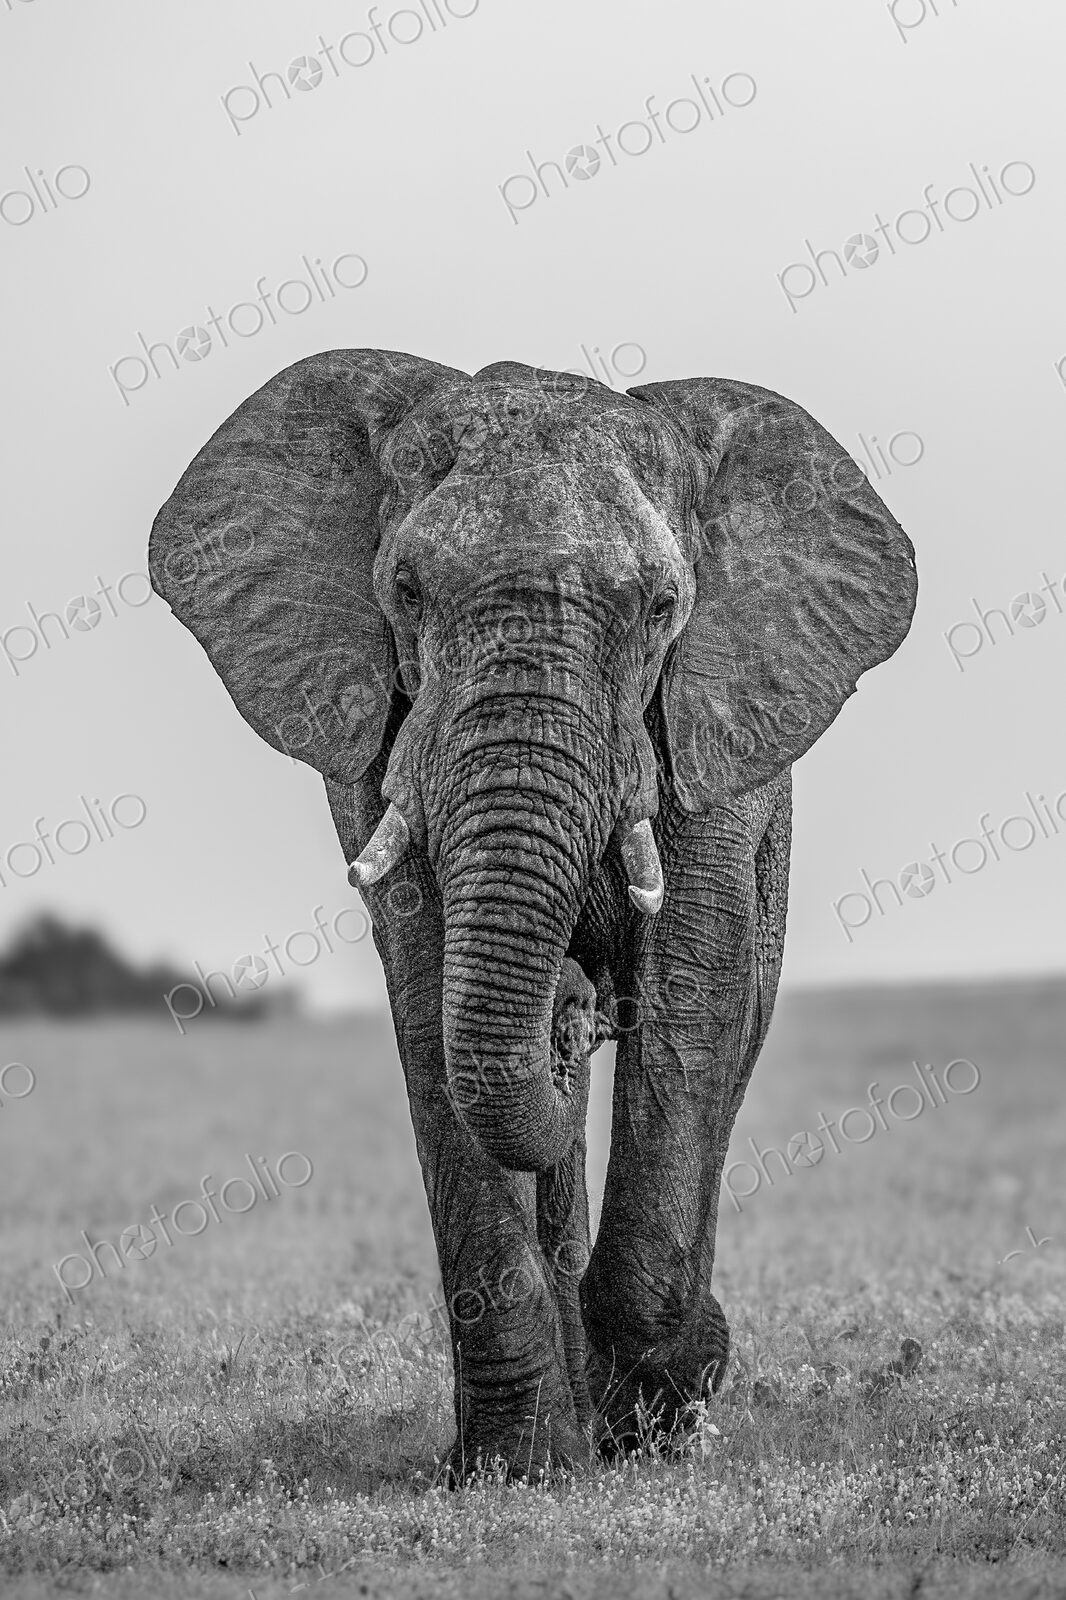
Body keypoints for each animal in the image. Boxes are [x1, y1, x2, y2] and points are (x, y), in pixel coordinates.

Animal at [148, 349, 917, 1480]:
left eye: (662, 606)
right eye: (405, 590)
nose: (571, 1002)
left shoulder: (717, 725)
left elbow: (694, 993)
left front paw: (659, 1404)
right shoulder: (379, 737)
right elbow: (430, 1002)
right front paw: (518, 1467)